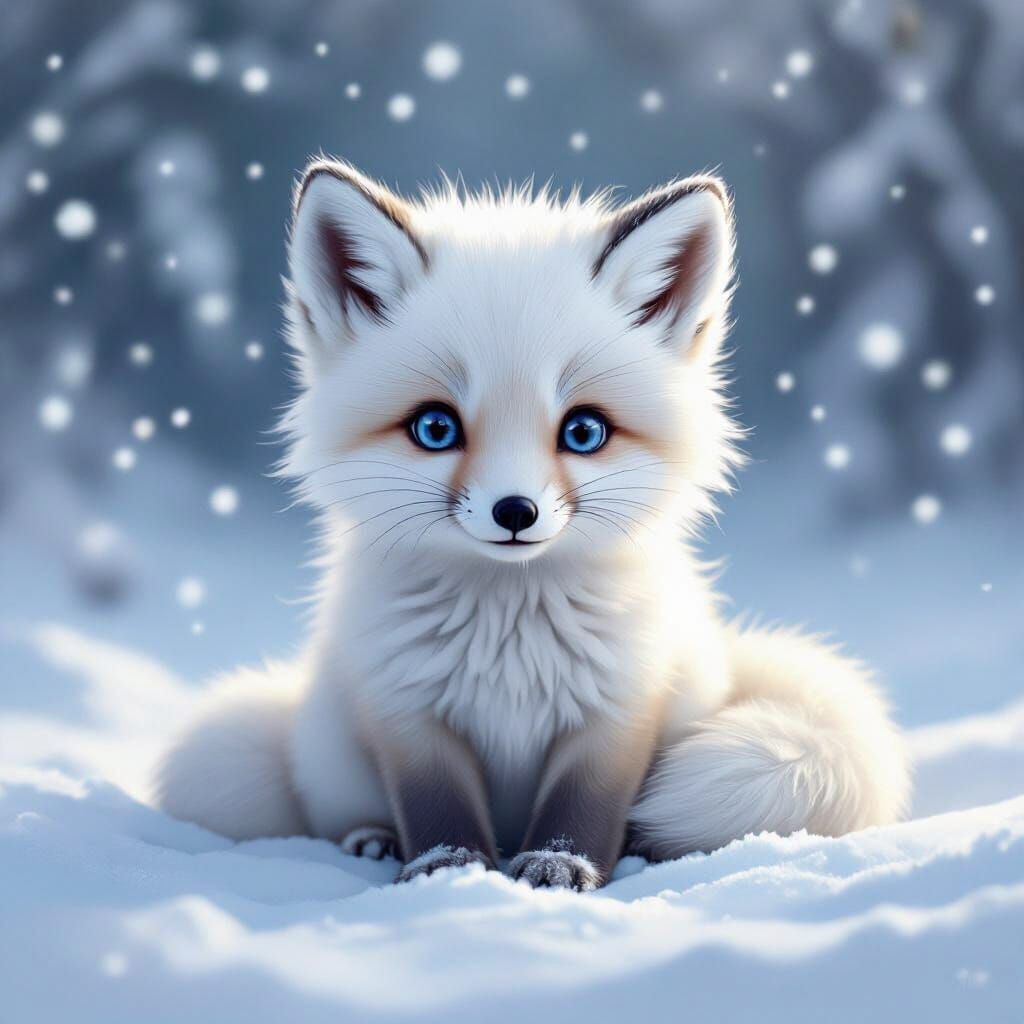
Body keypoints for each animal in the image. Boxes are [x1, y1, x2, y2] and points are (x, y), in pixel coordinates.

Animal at [154, 159, 910, 890]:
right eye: (435, 428)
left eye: (583, 431)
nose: (515, 512)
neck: (509, 633)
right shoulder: (407, 711)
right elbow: (437, 808)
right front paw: (449, 870)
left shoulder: (619, 706)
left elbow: (582, 809)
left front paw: (560, 867)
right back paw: (372, 838)